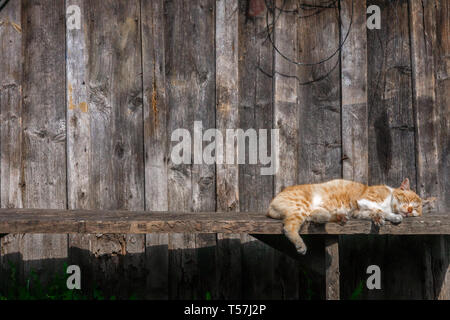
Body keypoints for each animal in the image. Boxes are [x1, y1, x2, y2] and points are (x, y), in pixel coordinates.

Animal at [268, 178, 436, 255]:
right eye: (407, 200)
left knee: (313, 216)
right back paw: (300, 245)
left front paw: (389, 217)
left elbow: (374, 213)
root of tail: (270, 204)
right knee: (289, 227)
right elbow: (380, 210)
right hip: (301, 206)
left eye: (415, 208)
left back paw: (335, 216)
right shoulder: (364, 200)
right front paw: (390, 216)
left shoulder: (358, 212)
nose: (409, 210)